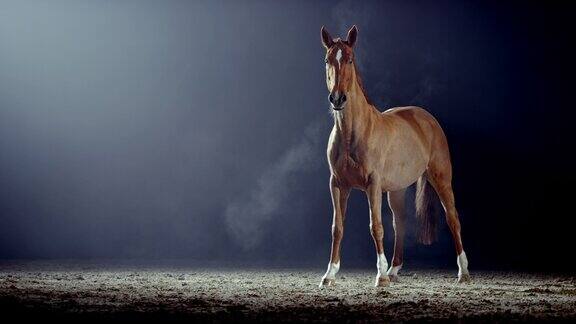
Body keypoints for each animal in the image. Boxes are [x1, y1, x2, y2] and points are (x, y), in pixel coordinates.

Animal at [318, 25, 470, 288]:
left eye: (350, 59)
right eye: (328, 60)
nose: (337, 99)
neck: (352, 134)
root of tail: (427, 118)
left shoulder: (373, 184)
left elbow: (376, 226)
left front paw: (379, 276)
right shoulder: (337, 184)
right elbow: (337, 227)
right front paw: (329, 274)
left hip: (441, 178)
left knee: (453, 219)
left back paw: (463, 272)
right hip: (396, 190)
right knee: (400, 223)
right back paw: (394, 268)